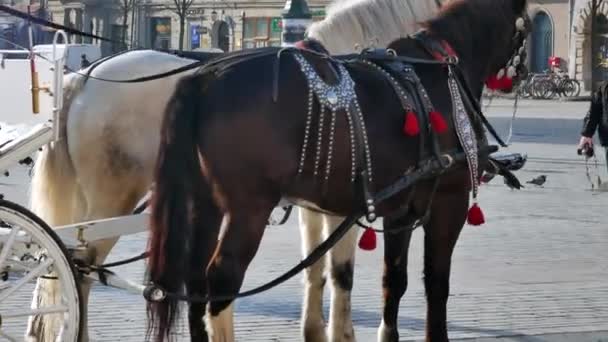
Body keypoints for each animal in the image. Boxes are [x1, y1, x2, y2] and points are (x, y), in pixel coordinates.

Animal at [26, 0, 440, 342]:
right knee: (81, 267)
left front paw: (316, 330)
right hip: (113, 199)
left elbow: (315, 267)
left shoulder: (315, 204)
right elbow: (342, 273)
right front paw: (342, 332)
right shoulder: (349, 204)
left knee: (58, 259)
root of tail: (83, 78)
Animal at [146, 0, 528, 342]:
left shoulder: (395, 208)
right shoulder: (448, 202)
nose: (520, 77)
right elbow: (433, 282)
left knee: (196, 280)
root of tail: (204, 77)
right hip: (249, 208)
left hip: (204, 202)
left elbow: (386, 278)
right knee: (222, 280)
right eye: (523, 30)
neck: (433, 71)